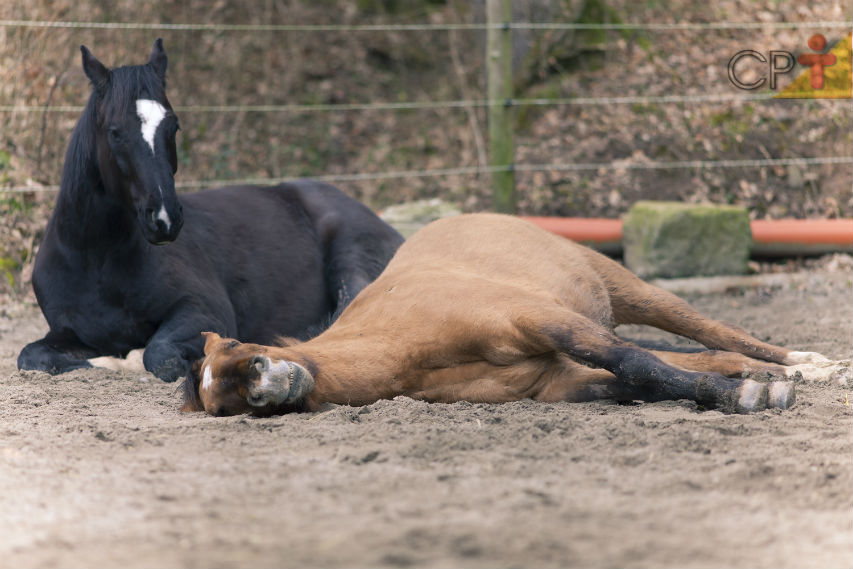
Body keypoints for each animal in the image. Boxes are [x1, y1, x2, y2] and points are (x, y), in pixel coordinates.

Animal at [16, 37, 402, 380]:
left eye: (173, 126)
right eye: (114, 131)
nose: (165, 219)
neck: (96, 260)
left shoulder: (203, 310)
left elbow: (159, 356)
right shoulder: (68, 333)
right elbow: (31, 356)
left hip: (351, 259)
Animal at [183, 213, 848, 418]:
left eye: (244, 357)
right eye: (226, 405)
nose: (268, 389)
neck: (403, 346)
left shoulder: (542, 321)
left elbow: (637, 363)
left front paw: (750, 398)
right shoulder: (558, 381)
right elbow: (645, 379)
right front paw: (747, 392)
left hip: (627, 290)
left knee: (717, 332)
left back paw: (809, 364)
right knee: (713, 352)